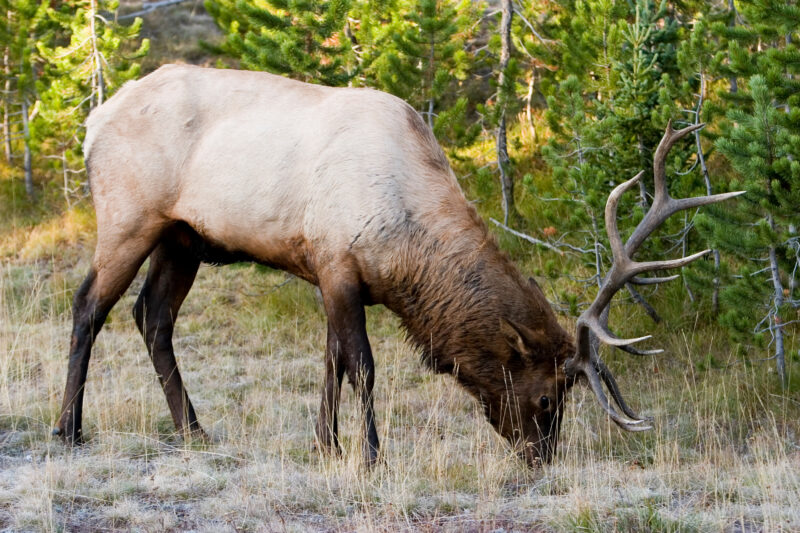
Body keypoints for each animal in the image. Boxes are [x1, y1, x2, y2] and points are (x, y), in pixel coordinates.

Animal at [52, 64, 742, 467]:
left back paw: (193, 430)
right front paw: (370, 455)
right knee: (89, 307)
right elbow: (361, 364)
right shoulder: (337, 261)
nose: (542, 458)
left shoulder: (330, 273)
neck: (406, 245)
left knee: (152, 317)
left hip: (183, 237)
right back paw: (68, 429)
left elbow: (330, 357)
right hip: (129, 215)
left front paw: (325, 443)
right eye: (548, 397)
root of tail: (93, 120)